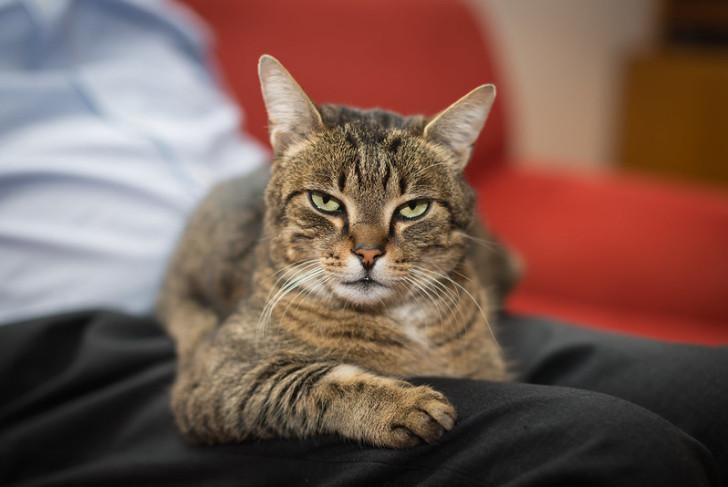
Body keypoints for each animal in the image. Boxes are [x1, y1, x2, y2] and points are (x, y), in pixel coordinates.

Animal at [156, 56, 520, 450]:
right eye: (325, 201)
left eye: (414, 209)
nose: (368, 253)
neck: (399, 322)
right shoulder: (217, 373)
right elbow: (316, 380)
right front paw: (401, 404)